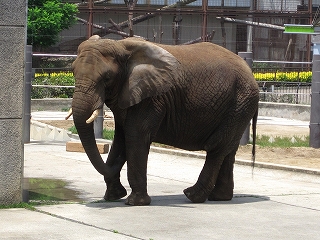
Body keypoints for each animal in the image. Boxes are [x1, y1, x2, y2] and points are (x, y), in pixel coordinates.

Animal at [69, 35, 258, 206]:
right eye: (73, 72)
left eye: (107, 78)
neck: (121, 46)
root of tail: (251, 74)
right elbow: (121, 139)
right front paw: (113, 197)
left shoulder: (151, 99)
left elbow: (135, 137)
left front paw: (135, 202)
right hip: (239, 107)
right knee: (229, 149)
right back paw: (219, 198)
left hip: (240, 102)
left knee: (217, 147)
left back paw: (192, 196)